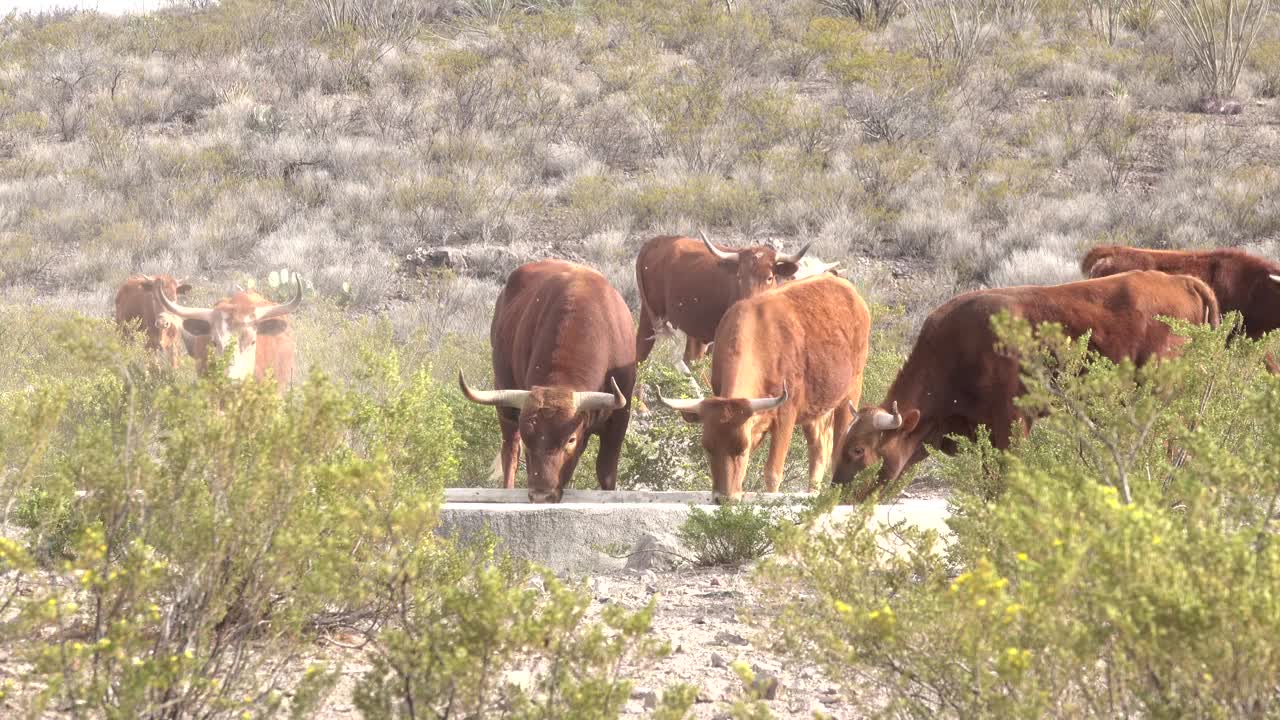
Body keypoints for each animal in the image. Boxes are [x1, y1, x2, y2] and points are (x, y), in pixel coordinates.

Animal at [460, 257, 640, 499]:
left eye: (570, 439)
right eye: (529, 438)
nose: (541, 495)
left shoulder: (619, 420)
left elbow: (606, 472)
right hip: (504, 403)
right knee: (510, 452)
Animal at [660, 271, 870, 497]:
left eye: (741, 448)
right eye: (707, 447)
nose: (723, 498)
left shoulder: (785, 416)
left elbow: (773, 473)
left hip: (850, 394)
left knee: (837, 449)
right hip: (816, 408)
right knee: (820, 450)